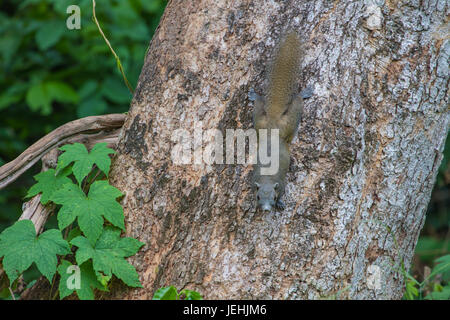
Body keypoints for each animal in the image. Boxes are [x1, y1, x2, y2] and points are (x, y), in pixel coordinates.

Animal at [251, 30, 304, 212]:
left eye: (273, 197)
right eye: (258, 196)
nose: (266, 209)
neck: (267, 177)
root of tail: (273, 125)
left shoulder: (281, 184)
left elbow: (282, 191)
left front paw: (280, 203)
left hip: (287, 124)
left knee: (296, 104)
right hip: (261, 124)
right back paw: (254, 96)